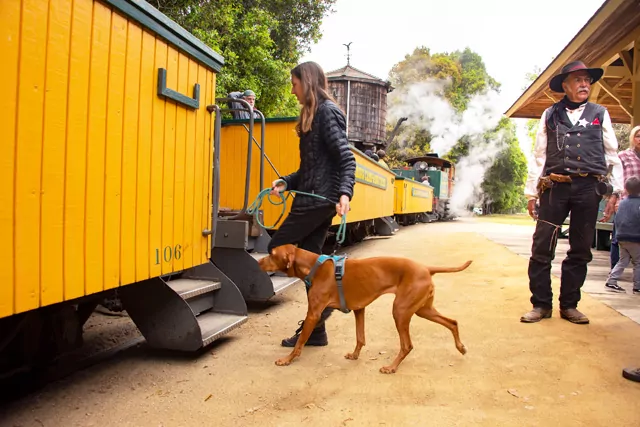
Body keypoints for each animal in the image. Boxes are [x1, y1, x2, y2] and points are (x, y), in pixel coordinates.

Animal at [258, 244, 472, 374]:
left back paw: (391, 367)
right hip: (422, 310)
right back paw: (461, 347)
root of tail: (426, 268)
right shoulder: (359, 309)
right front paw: (355, 355)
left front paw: (287, 359)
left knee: (407, 345)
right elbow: (360, 337)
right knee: (452, 322)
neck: (314, 267)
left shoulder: (313, 314)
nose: (258, 262)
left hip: (400, 311)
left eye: (272, 254)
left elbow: (300, 341)